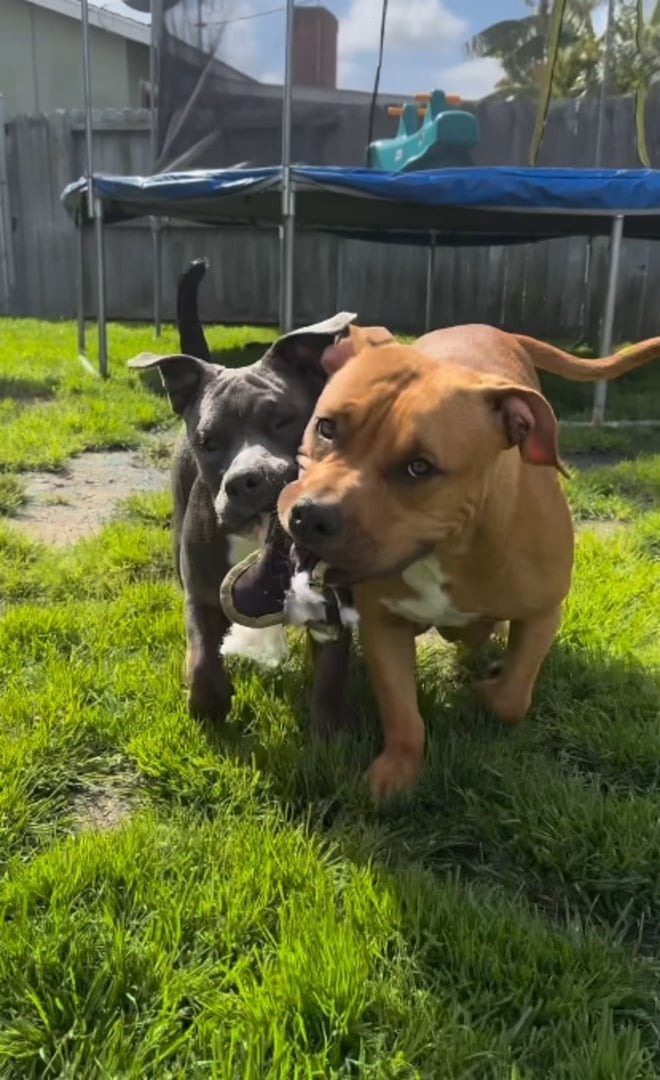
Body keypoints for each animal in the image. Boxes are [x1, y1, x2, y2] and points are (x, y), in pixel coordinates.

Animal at [128, 257, 356, 738]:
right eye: (208, 441)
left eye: (284, 419)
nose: (248, 479)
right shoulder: (200, 592)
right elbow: (201, 655)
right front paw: (209, 702)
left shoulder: (332, 601)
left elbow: (330, 674)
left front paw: (329, 736)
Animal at [278, 324, 660, 799]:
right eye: (326, 427)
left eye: (420, 467)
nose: (312, 515)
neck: (448, 547)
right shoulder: (384, 625)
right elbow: (402, 711)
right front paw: (397, 771)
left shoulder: (543, 612)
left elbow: (512, 697)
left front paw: (485, 689)